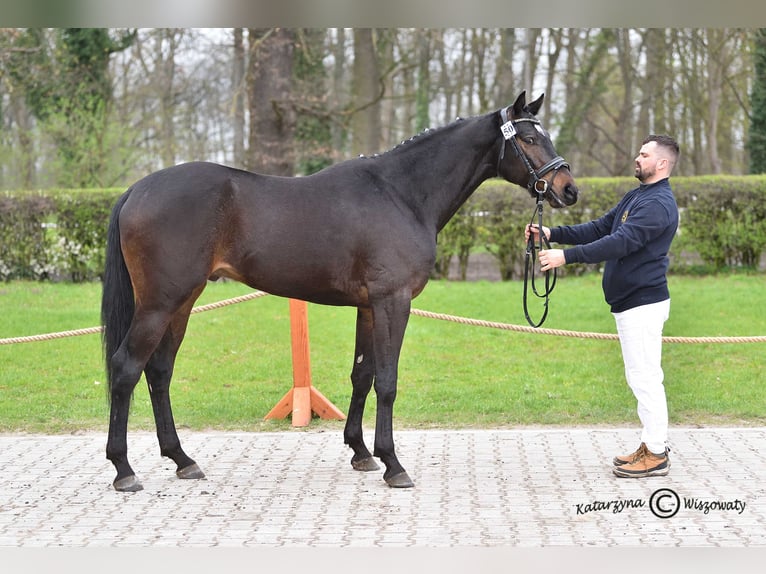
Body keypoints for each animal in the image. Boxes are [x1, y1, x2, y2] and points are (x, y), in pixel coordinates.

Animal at [101, 91, 578, 492]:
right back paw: (124, 470)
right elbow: (387, 380)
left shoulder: (368, 307)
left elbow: (362, 375)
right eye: (530, 138)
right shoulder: (392, 302)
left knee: (159, 370)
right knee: (126, 368)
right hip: (160, 303)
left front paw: (362, 453)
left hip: (182, 302)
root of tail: (136, 190)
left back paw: (182, 460)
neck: (401, 194)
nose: (568, 189)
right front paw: (393, 464)